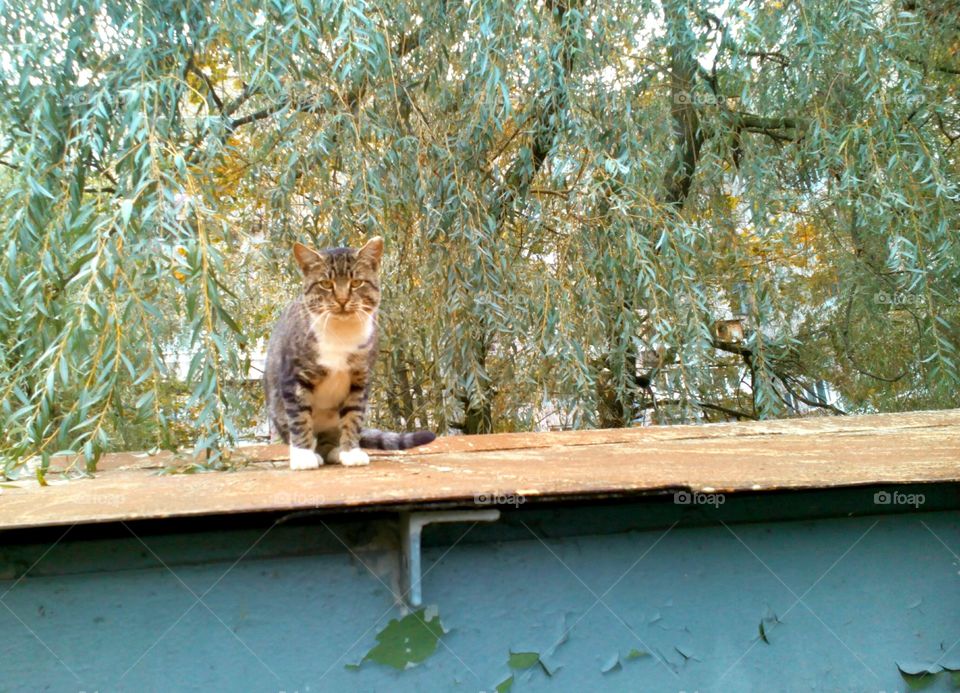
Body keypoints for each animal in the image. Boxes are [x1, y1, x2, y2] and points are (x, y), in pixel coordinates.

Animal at [266, 238, 438, 470]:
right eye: (325, 284)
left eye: (356, 282)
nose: (341, 299)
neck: (341, 335)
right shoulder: (294, 378)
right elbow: (300, 418)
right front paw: (303, 456)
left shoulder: (359, 379)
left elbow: (353, 417)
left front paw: (350, 451)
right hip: (277, 407)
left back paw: (335, 450)